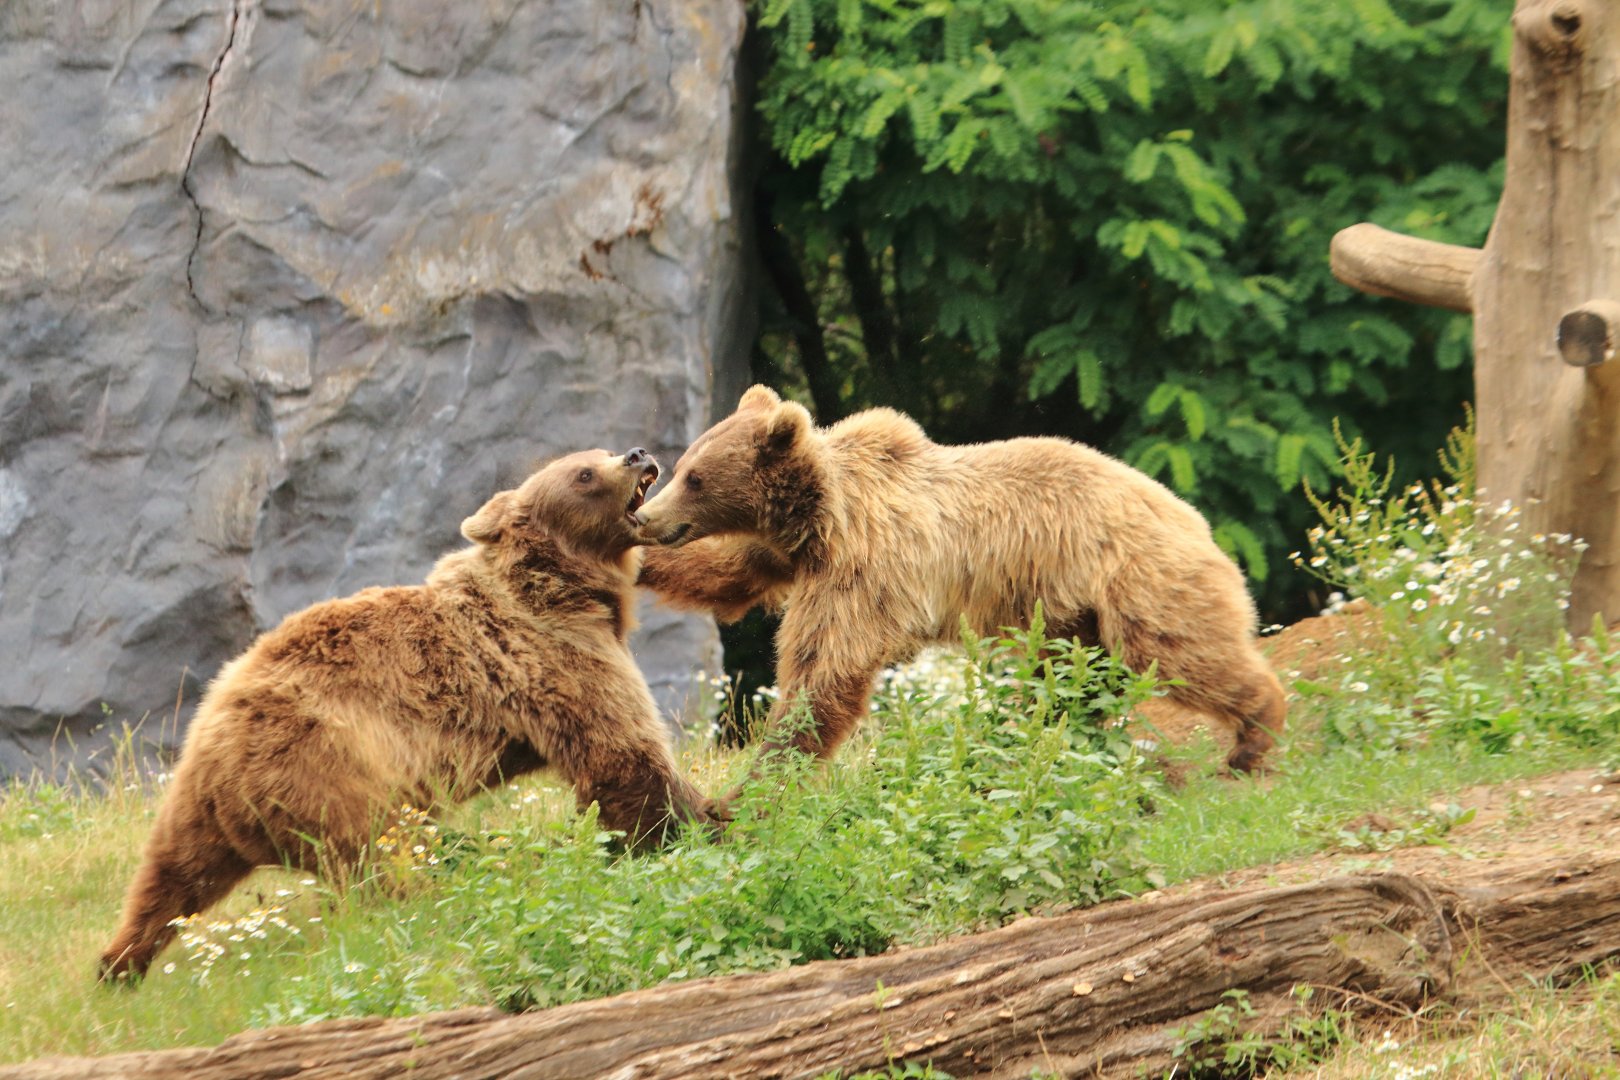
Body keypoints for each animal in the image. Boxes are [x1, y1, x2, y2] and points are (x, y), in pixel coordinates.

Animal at [98, 448, 712, 981]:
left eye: (600, 453)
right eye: (584, 472)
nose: (637, 453)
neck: (572, 587)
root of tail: (216, 744)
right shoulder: (551, 656)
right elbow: (622, 755)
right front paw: (699, 820)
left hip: (199, 803)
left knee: (171, 877)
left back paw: (119, 964)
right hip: (330, 765)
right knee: (383, 858)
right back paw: (444, 895)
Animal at [634, 385, 1287, 783]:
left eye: (695, 476)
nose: (648, 516)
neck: (823, 516)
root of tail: (1193, 517)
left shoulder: (870, 568)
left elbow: (826, 671)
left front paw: (756, 787)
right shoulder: (788, 554)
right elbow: (728, 573)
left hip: (1136, 578)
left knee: (1182, 649)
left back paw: (1252, 738)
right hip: (1072, 613)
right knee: (1072, 679)